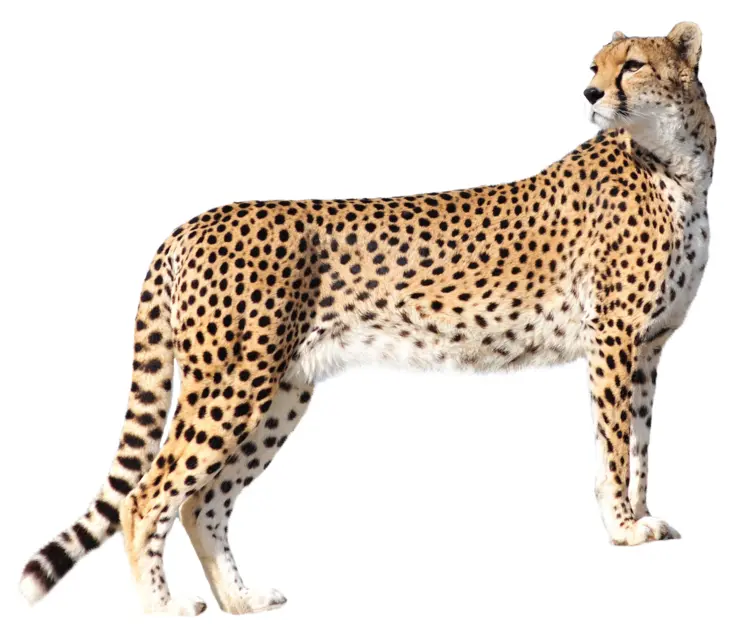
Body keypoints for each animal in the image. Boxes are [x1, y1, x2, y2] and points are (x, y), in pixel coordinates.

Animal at [20, 22, 715, 615]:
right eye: (594, 66)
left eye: (632, 64)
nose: (591, 92)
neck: (678, 162)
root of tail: (191, 223)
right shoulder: (614, 340)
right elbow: (614, 446)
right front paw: (622, 529)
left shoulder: (649, 346)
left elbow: (640, 444)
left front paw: (643, 519)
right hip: (233, 382)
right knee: (147, 494)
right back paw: (163, 608)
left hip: (281, 391)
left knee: (203, 502)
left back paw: (242, 600)